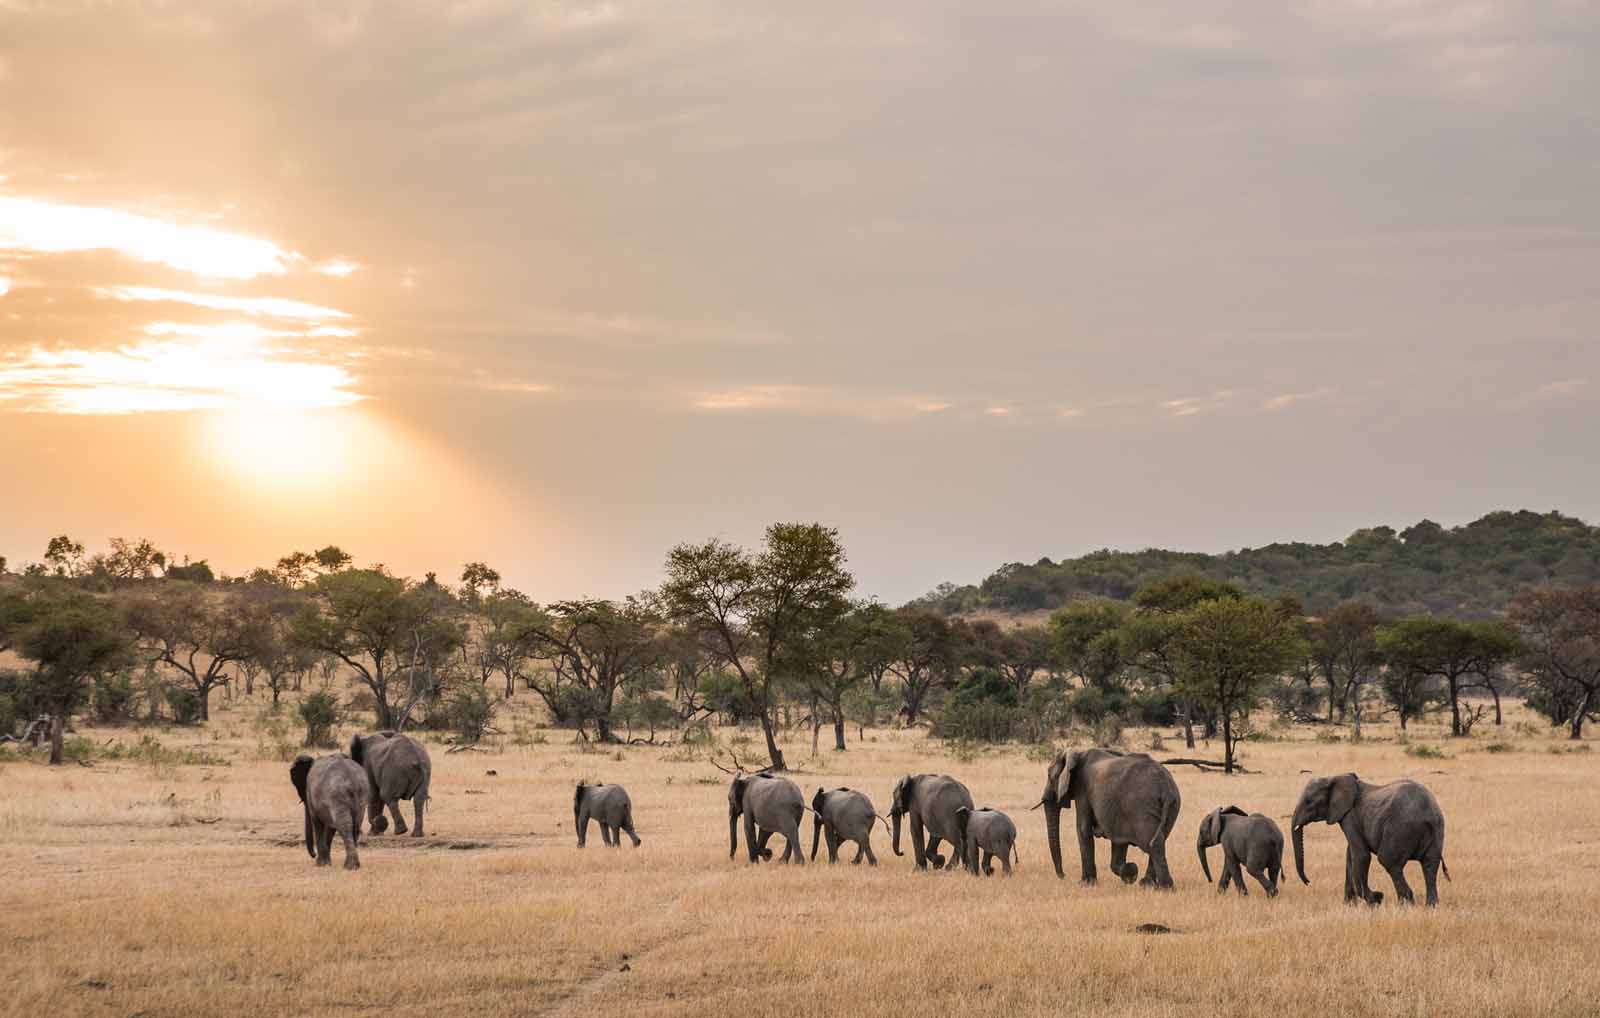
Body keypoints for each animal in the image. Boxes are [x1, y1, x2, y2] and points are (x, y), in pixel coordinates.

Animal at [1043, 742, 1184, 889]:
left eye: (1049, 776)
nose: (1063, 876)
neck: (1079, 754)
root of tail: (1166, 788)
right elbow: (1118, 841)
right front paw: (1130, 872)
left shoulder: (1082, 790)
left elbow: (1083, 829)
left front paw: (1085, 884)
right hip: (1173, 806)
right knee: (1159, 839)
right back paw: (1147, 884)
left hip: (1143, 806)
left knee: (1153, 843)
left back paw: (1164, 887)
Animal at [1286, 771, 1452, 909]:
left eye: (1309, 802)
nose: (1308, 882)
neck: (1334, 777)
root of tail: (1429, 813)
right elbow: (1350, 856)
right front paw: (1349, 905)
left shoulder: (1350, 817)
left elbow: (1361, 855)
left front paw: (1375, 900)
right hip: (1437, 830)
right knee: (1430, 865)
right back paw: (1431, 907)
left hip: (1400, 828)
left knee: (1389, 861)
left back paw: (1405, 905)